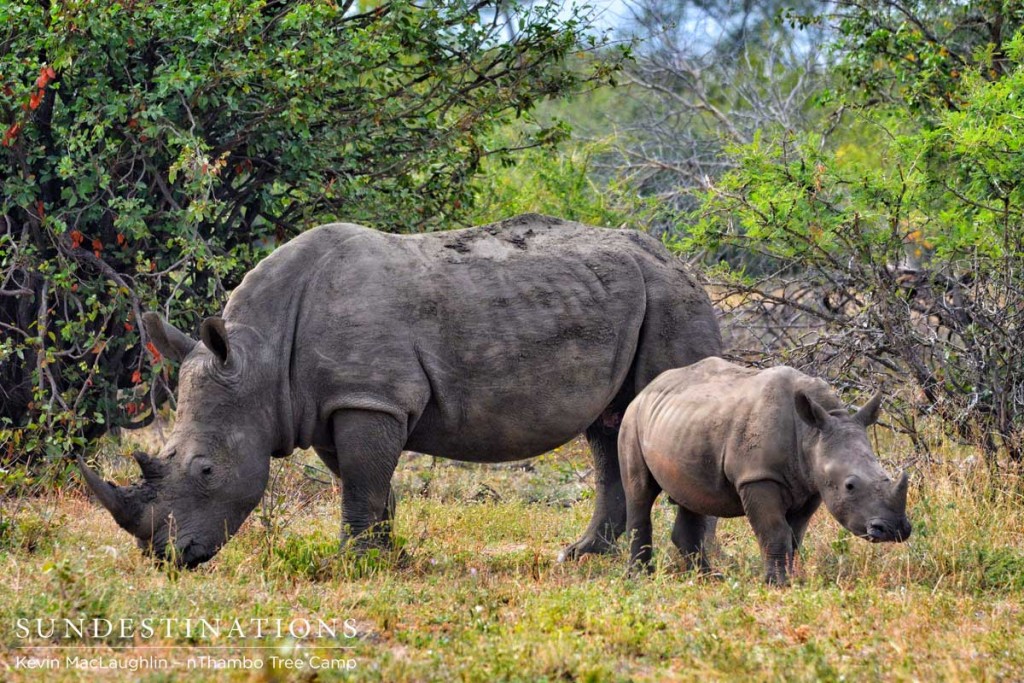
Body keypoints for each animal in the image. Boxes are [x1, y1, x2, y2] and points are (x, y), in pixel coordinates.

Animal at [77, 211, 720, 565]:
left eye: (206, 470)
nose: (166, 557)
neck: (258, 358)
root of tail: (677, 259)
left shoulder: (370, 397)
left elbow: (361, 480)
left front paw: (351, 562)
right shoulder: (333, 402)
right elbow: (362, 481)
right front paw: (386, 553)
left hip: (672, 299)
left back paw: (689, 561)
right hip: (625, 298)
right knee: (607, 429)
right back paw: (581, 557)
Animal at [614, 356, 913, 585]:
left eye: (886, 476)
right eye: (850, 485)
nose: (894, 529)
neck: (811, 435)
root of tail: (649, 388)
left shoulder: (811, 485)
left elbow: (794, 536)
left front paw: (791, 580)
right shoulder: (757, 477)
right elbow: (775, 532)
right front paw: (776, 584)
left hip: (685, 425)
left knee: (692, 497)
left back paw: (709, 578)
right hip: (632, 419)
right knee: (640, 493)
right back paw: (640, 578)